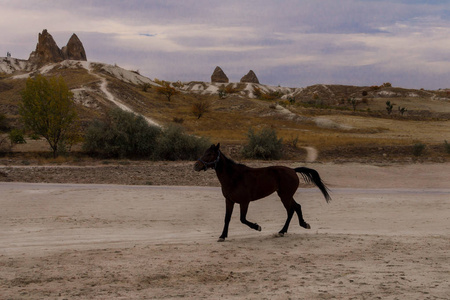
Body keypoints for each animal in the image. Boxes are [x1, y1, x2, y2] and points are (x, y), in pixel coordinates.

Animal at [193, 142, 330, 241]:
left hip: (285, 196)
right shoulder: (229, 201)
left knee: (291, 210)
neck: (234, 177)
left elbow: (242, 219)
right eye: (205, 152)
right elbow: (227, 218)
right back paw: (296, 227)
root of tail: (292, 170)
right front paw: (222, 236)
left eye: (210, 154)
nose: (196, 166)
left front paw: (258, 227)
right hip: (285, 195)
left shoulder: (244, 202)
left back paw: (285, 230)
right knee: (296, 207)